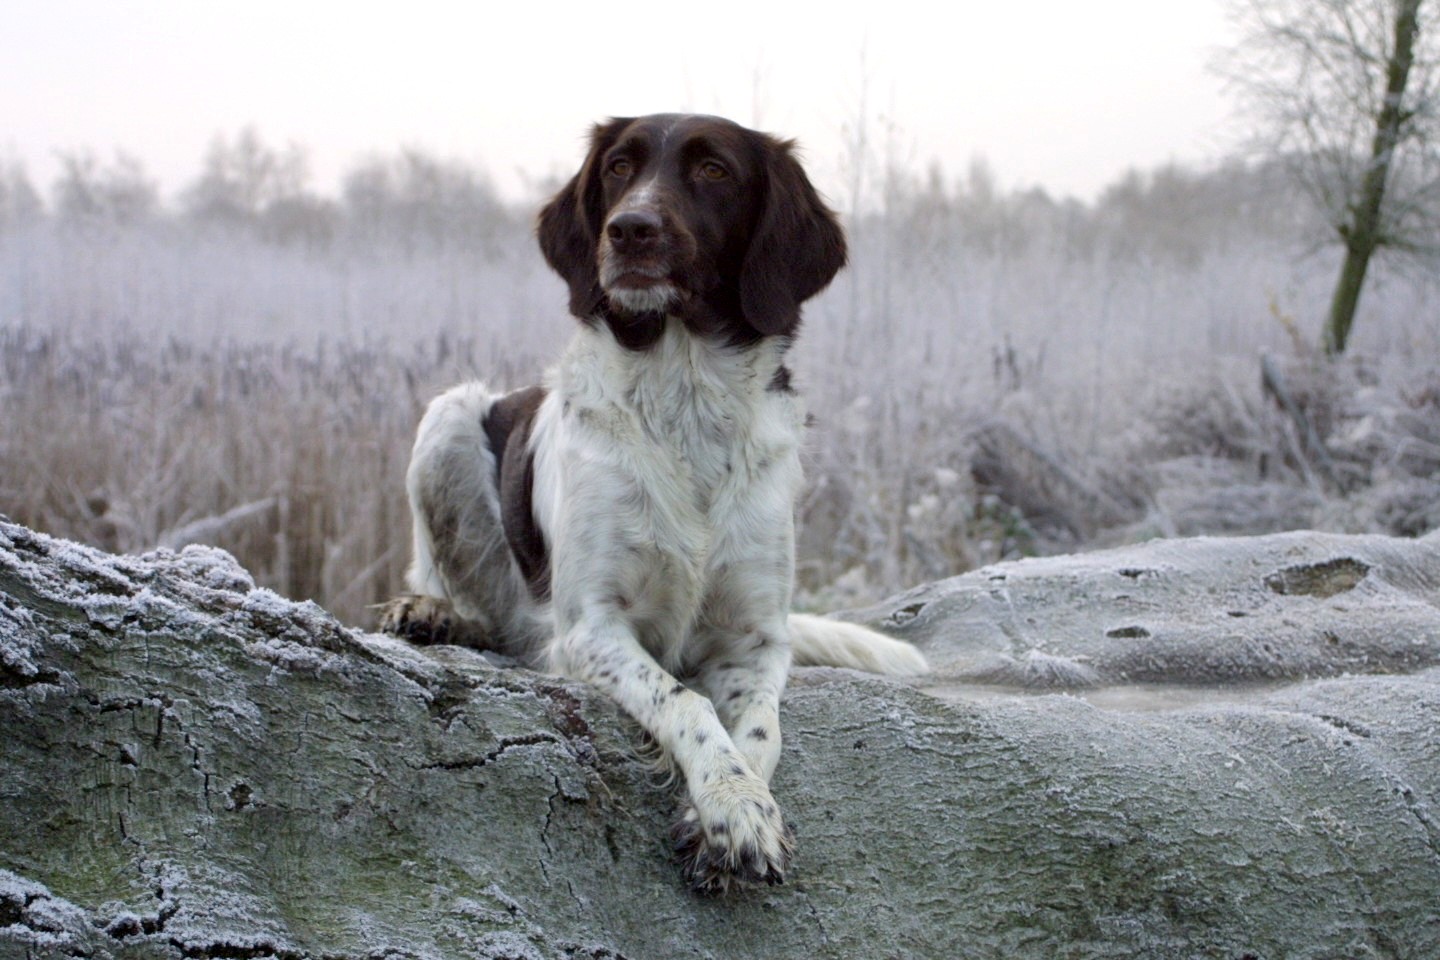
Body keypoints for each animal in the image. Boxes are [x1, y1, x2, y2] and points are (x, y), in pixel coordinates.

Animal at [377, 114, 927, 892]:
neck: (685, 394)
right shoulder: (592, 629)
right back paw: (435, 612)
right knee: (464, 595)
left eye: (714, 170)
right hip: (449, 415)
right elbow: (685, 700)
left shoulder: (756, 641)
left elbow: (760, 731)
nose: (629, 229)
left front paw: (731, 809)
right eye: (617, 168)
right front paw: (731, 807)